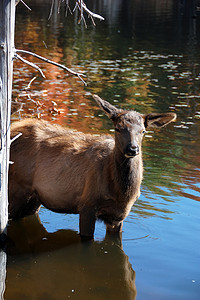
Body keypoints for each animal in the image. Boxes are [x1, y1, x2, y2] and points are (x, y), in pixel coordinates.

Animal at [8, 95, 176, 238]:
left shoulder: (118, 216)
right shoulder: (87, 204)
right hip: (15, 189)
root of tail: (12, 129)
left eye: (143, 131)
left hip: (35, 198)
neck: (121, 194)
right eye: (118, 128)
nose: (132, 149)